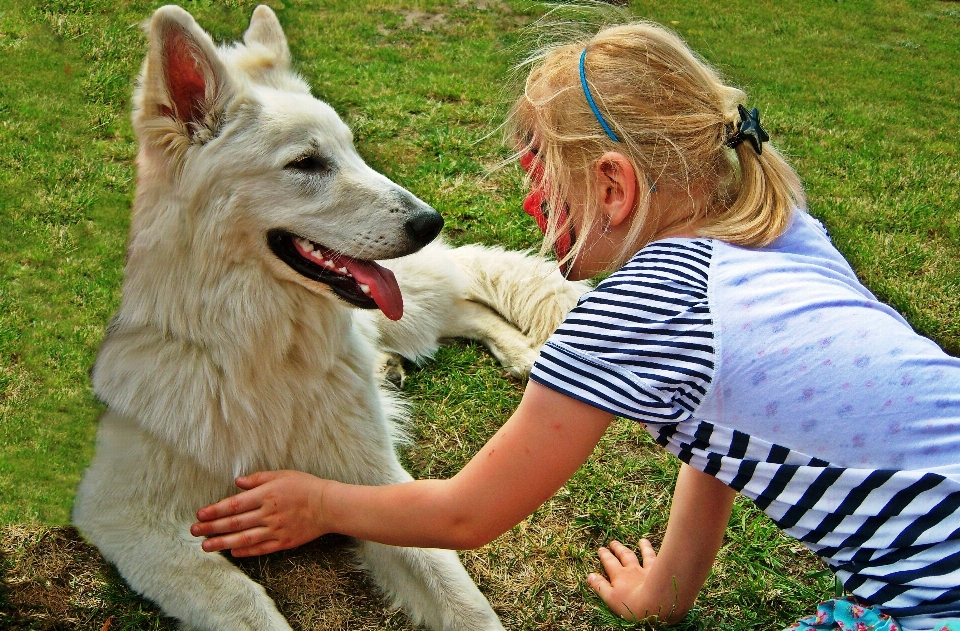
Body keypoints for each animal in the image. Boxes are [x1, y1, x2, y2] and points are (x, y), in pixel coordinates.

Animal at [71, 6, 588, 631]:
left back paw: (524, 355)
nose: (430, 222)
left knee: (461, 297)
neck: (257, 349)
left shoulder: (375, 482)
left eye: (351, 151)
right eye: (306, 163)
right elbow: (245, 605)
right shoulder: (126, 515)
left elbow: (461, 600)